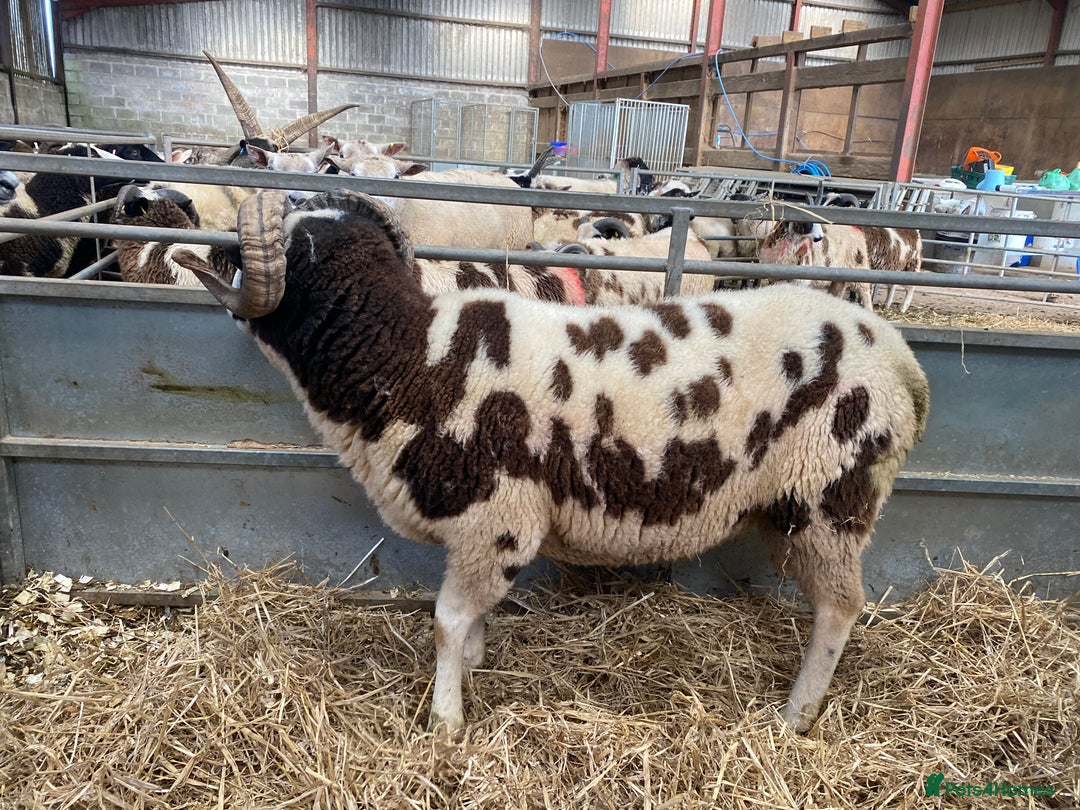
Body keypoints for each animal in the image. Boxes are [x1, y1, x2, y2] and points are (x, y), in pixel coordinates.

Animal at [175, 188, 929, 736]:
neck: (410, 360)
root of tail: (901, 360)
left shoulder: (499, 519)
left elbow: (447, 620)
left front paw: (445, 721)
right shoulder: (477, 534)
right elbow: (469, 621)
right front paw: (474, 669)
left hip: (831, 500)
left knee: (840, 609)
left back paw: (796, 716)